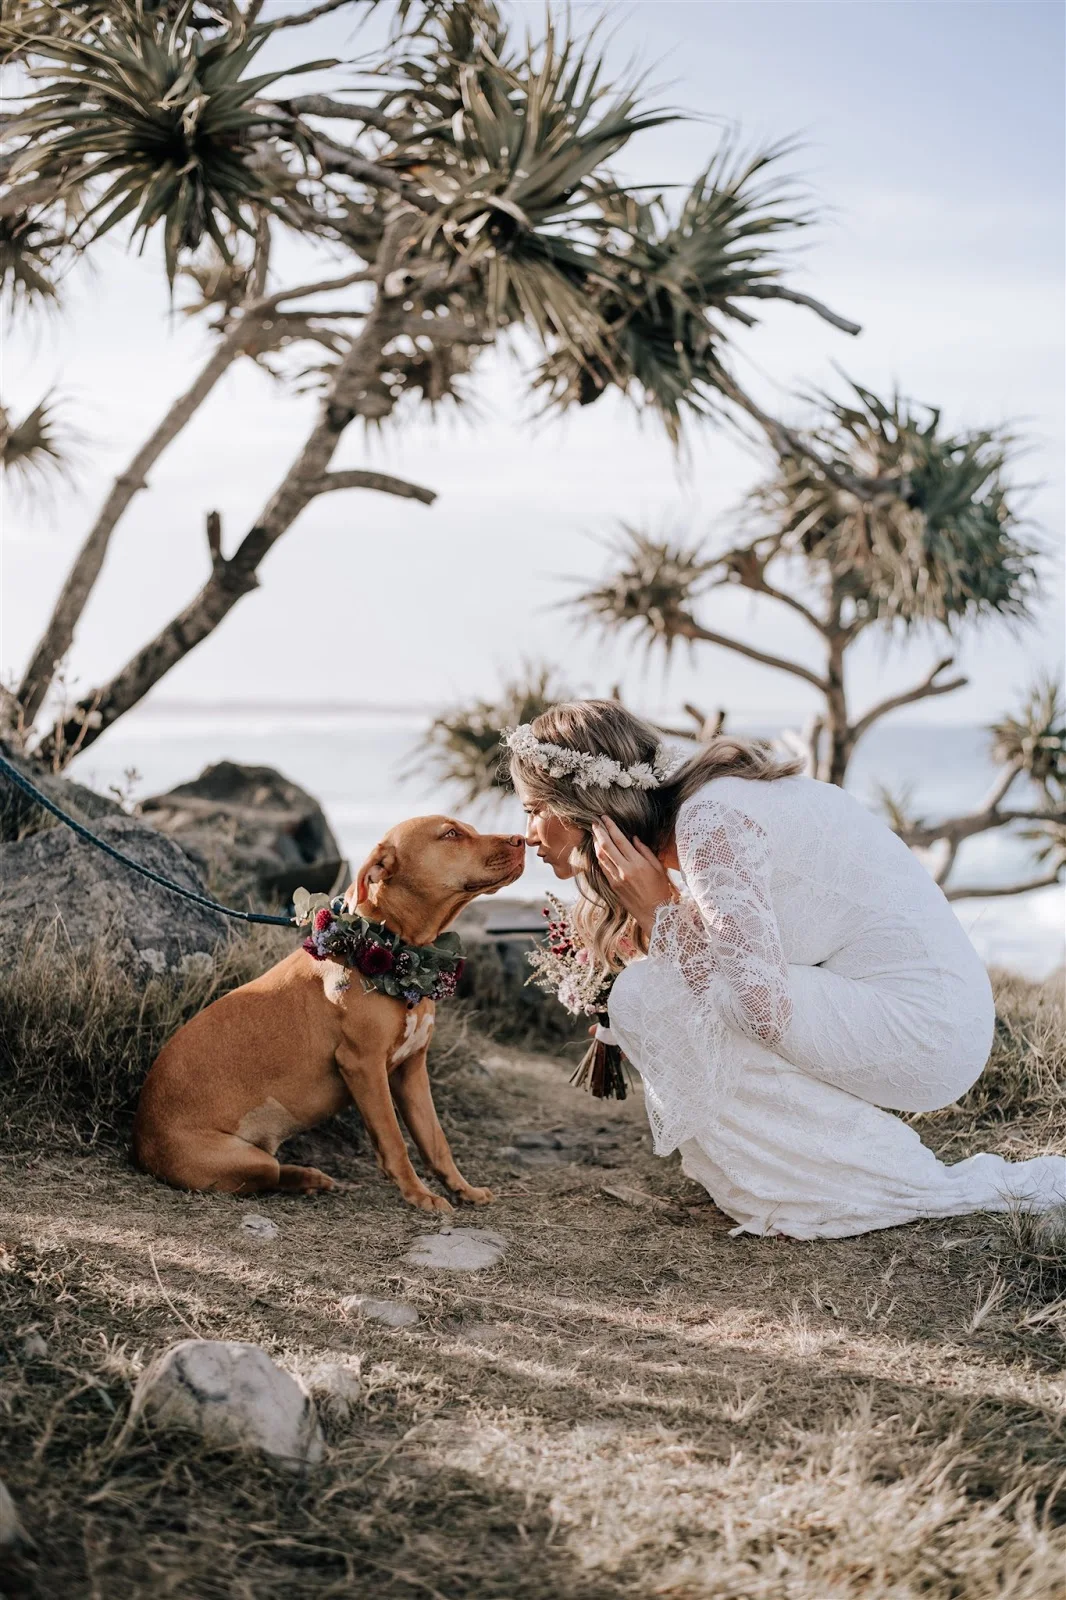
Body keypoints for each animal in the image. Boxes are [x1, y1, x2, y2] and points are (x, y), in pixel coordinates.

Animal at [132, 819, 521, 1203]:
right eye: (451, 833)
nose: (521, 839)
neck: (393, 950)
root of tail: (141, 1140)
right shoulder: (363, 1066)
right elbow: (395, 1142)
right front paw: (419, 1196)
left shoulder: (412, 1070)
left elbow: (436, 1142)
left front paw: (463, 1189)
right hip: (243, 1160)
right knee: (269, 1175)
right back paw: (304, 1177)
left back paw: (310, 1178)